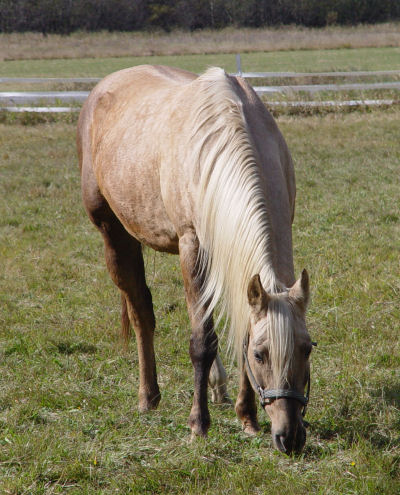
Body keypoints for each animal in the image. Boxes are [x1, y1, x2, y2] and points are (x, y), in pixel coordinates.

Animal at [76, 64, 314, 456]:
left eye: (307, 349)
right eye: (261, 355)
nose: (289, 436)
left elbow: (236, 327)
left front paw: (246, 416)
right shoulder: (193, 248)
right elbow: (202, 340)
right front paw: (198, 425)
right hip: (114, 235)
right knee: (141, 312)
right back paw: (148, 397)